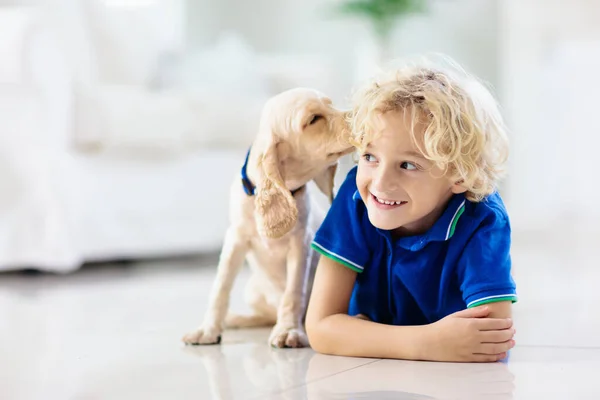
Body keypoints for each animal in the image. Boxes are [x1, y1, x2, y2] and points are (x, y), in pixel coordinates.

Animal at [183, 87, 352, 346]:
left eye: (330, 104)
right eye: (313, 119)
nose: (360, 116)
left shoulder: (300, 244)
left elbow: (294, 292)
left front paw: (288, 330)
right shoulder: (235, 240)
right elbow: (220, 287)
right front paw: (208, 330)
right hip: (252, 291)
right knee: (265, 314)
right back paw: (236, 319)